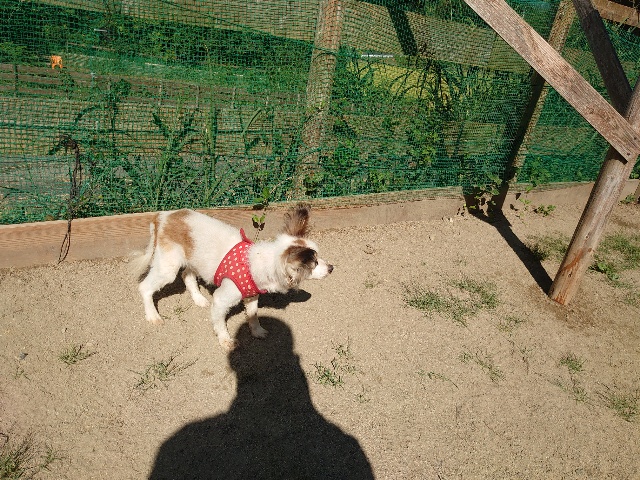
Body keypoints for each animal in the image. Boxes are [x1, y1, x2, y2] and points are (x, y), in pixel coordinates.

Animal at [132, 204, 333, 351]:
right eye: (315, 263)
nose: (331, 268)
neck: (258, 261)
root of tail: (163, 216)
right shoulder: (221, 300)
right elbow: (220, 323)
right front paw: (226, 340)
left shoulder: (251, 295)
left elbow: (253, 315)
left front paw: (257, 331)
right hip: (168, 267)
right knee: (145, 287)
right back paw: (153, 316)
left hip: (191, 260)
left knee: (186, 275)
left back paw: (199, 299)